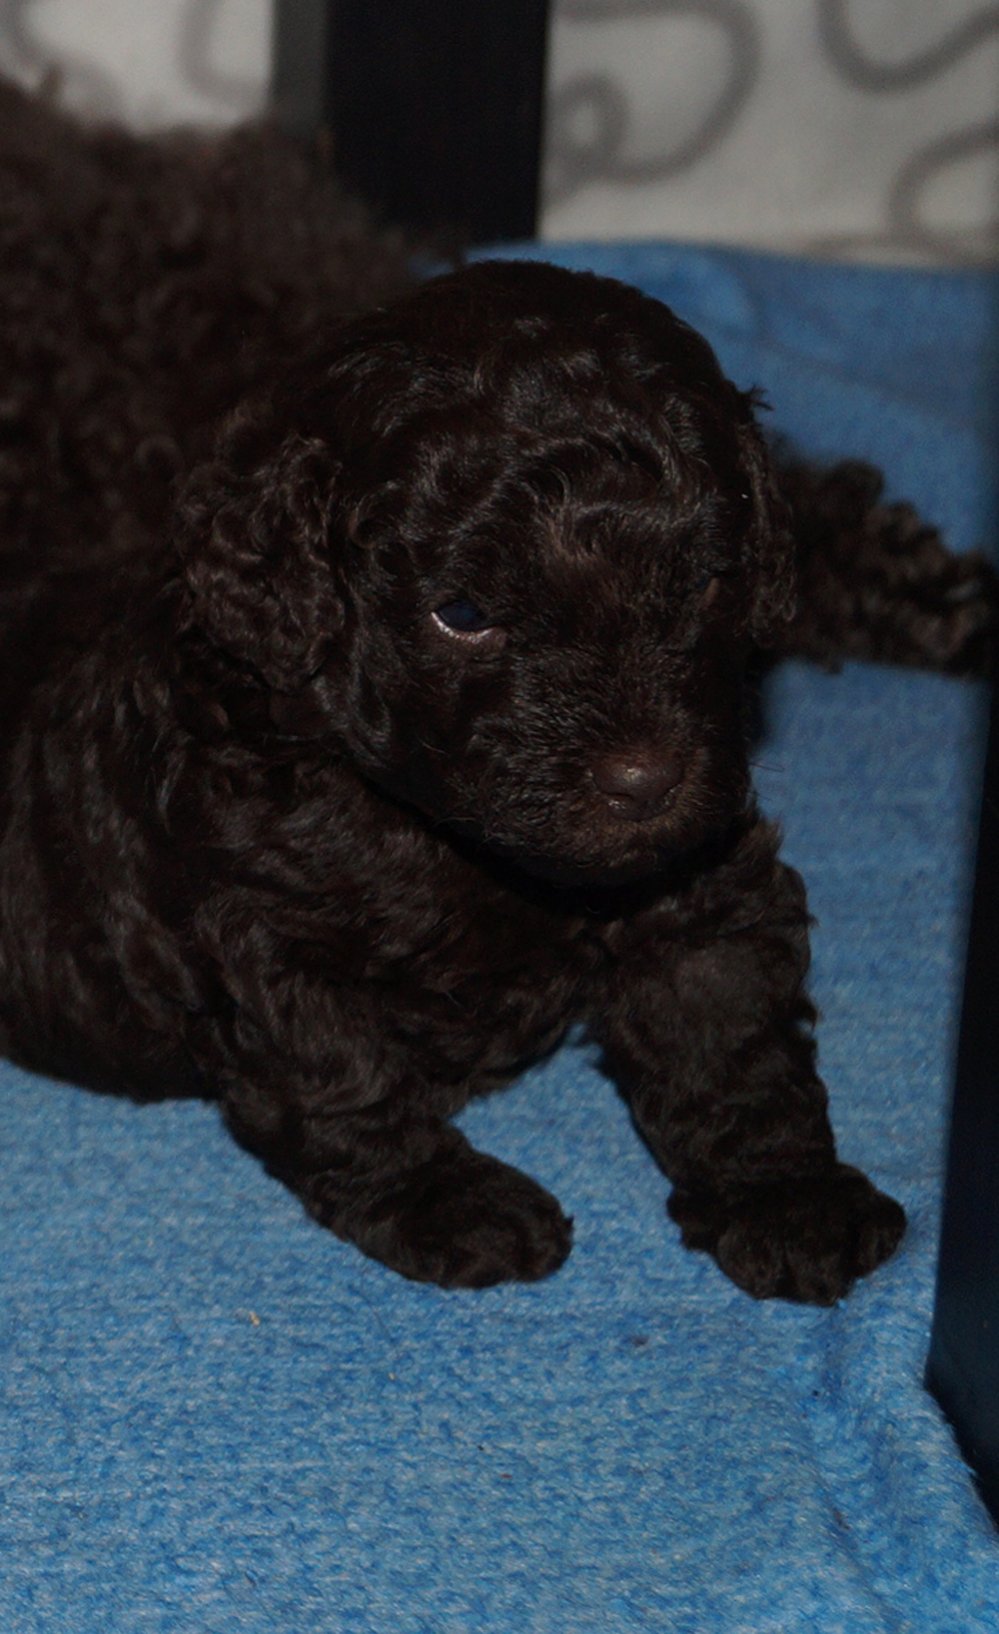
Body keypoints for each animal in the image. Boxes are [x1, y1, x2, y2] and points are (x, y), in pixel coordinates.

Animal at [1, 82, 993, 1298]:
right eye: (464, 615)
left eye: (702, 582)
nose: (644, 778)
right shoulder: (263, 933)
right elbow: (344, 1076)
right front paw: (444, 1195)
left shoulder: (698, 874)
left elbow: (727, 1027)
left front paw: (784, 1190)